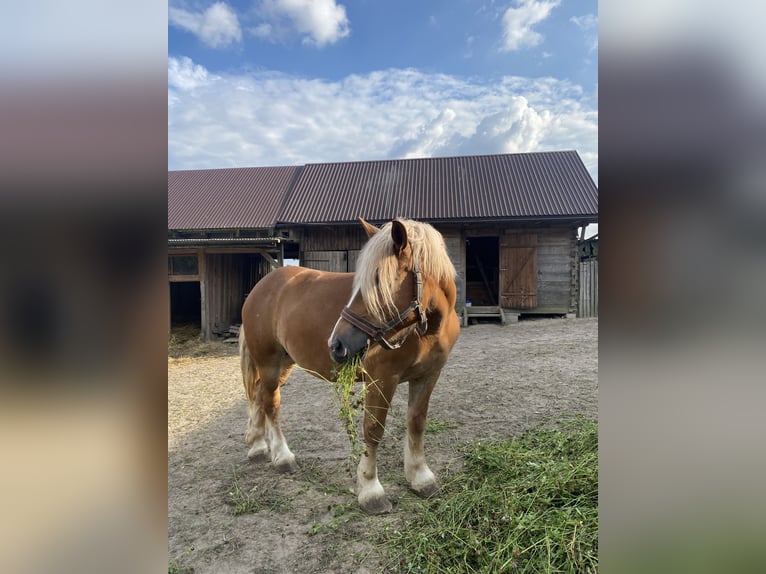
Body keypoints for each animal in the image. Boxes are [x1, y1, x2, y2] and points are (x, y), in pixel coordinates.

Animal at [240, 218, 460, 516]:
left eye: (378, 281)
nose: (336, 344)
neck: (425, 330)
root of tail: (261, 286)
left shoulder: (428, 376)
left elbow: (416, 424)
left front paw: (421, 478)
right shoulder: (382, 379)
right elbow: (373, 430)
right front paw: (370, 490)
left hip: (283, 363)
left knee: (261, 397)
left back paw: (259, 446)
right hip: (269, 362)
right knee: (270, 403)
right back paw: (283, 457)